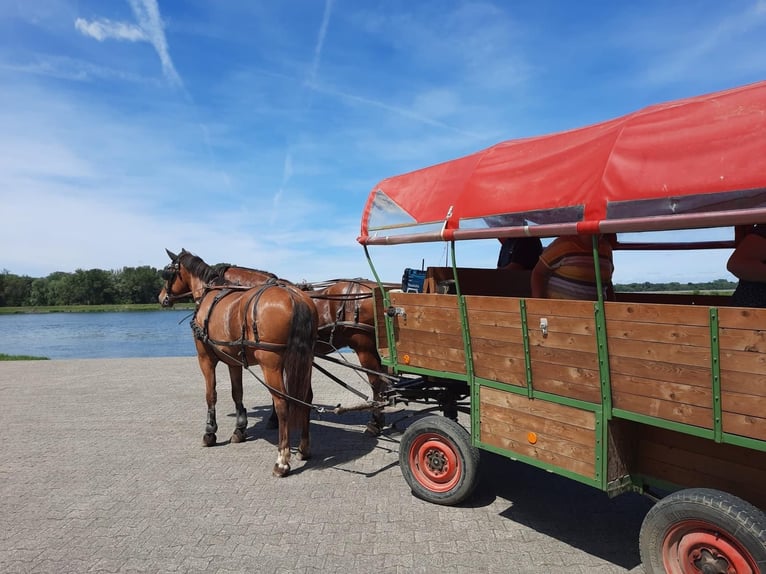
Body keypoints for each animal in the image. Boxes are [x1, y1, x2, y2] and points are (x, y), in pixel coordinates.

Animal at [159, 250, 318, 480]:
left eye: (167, 273)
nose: (161, 297)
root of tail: (295, 296)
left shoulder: (205, 358)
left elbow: (211, 394)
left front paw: (210, 432)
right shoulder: (233, 361)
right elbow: (237, 393)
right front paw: (239, 429)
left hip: (270, 363)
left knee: (282, 404)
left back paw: (282, 461)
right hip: (304, 361)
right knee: (305, 398)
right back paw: (304, 448)